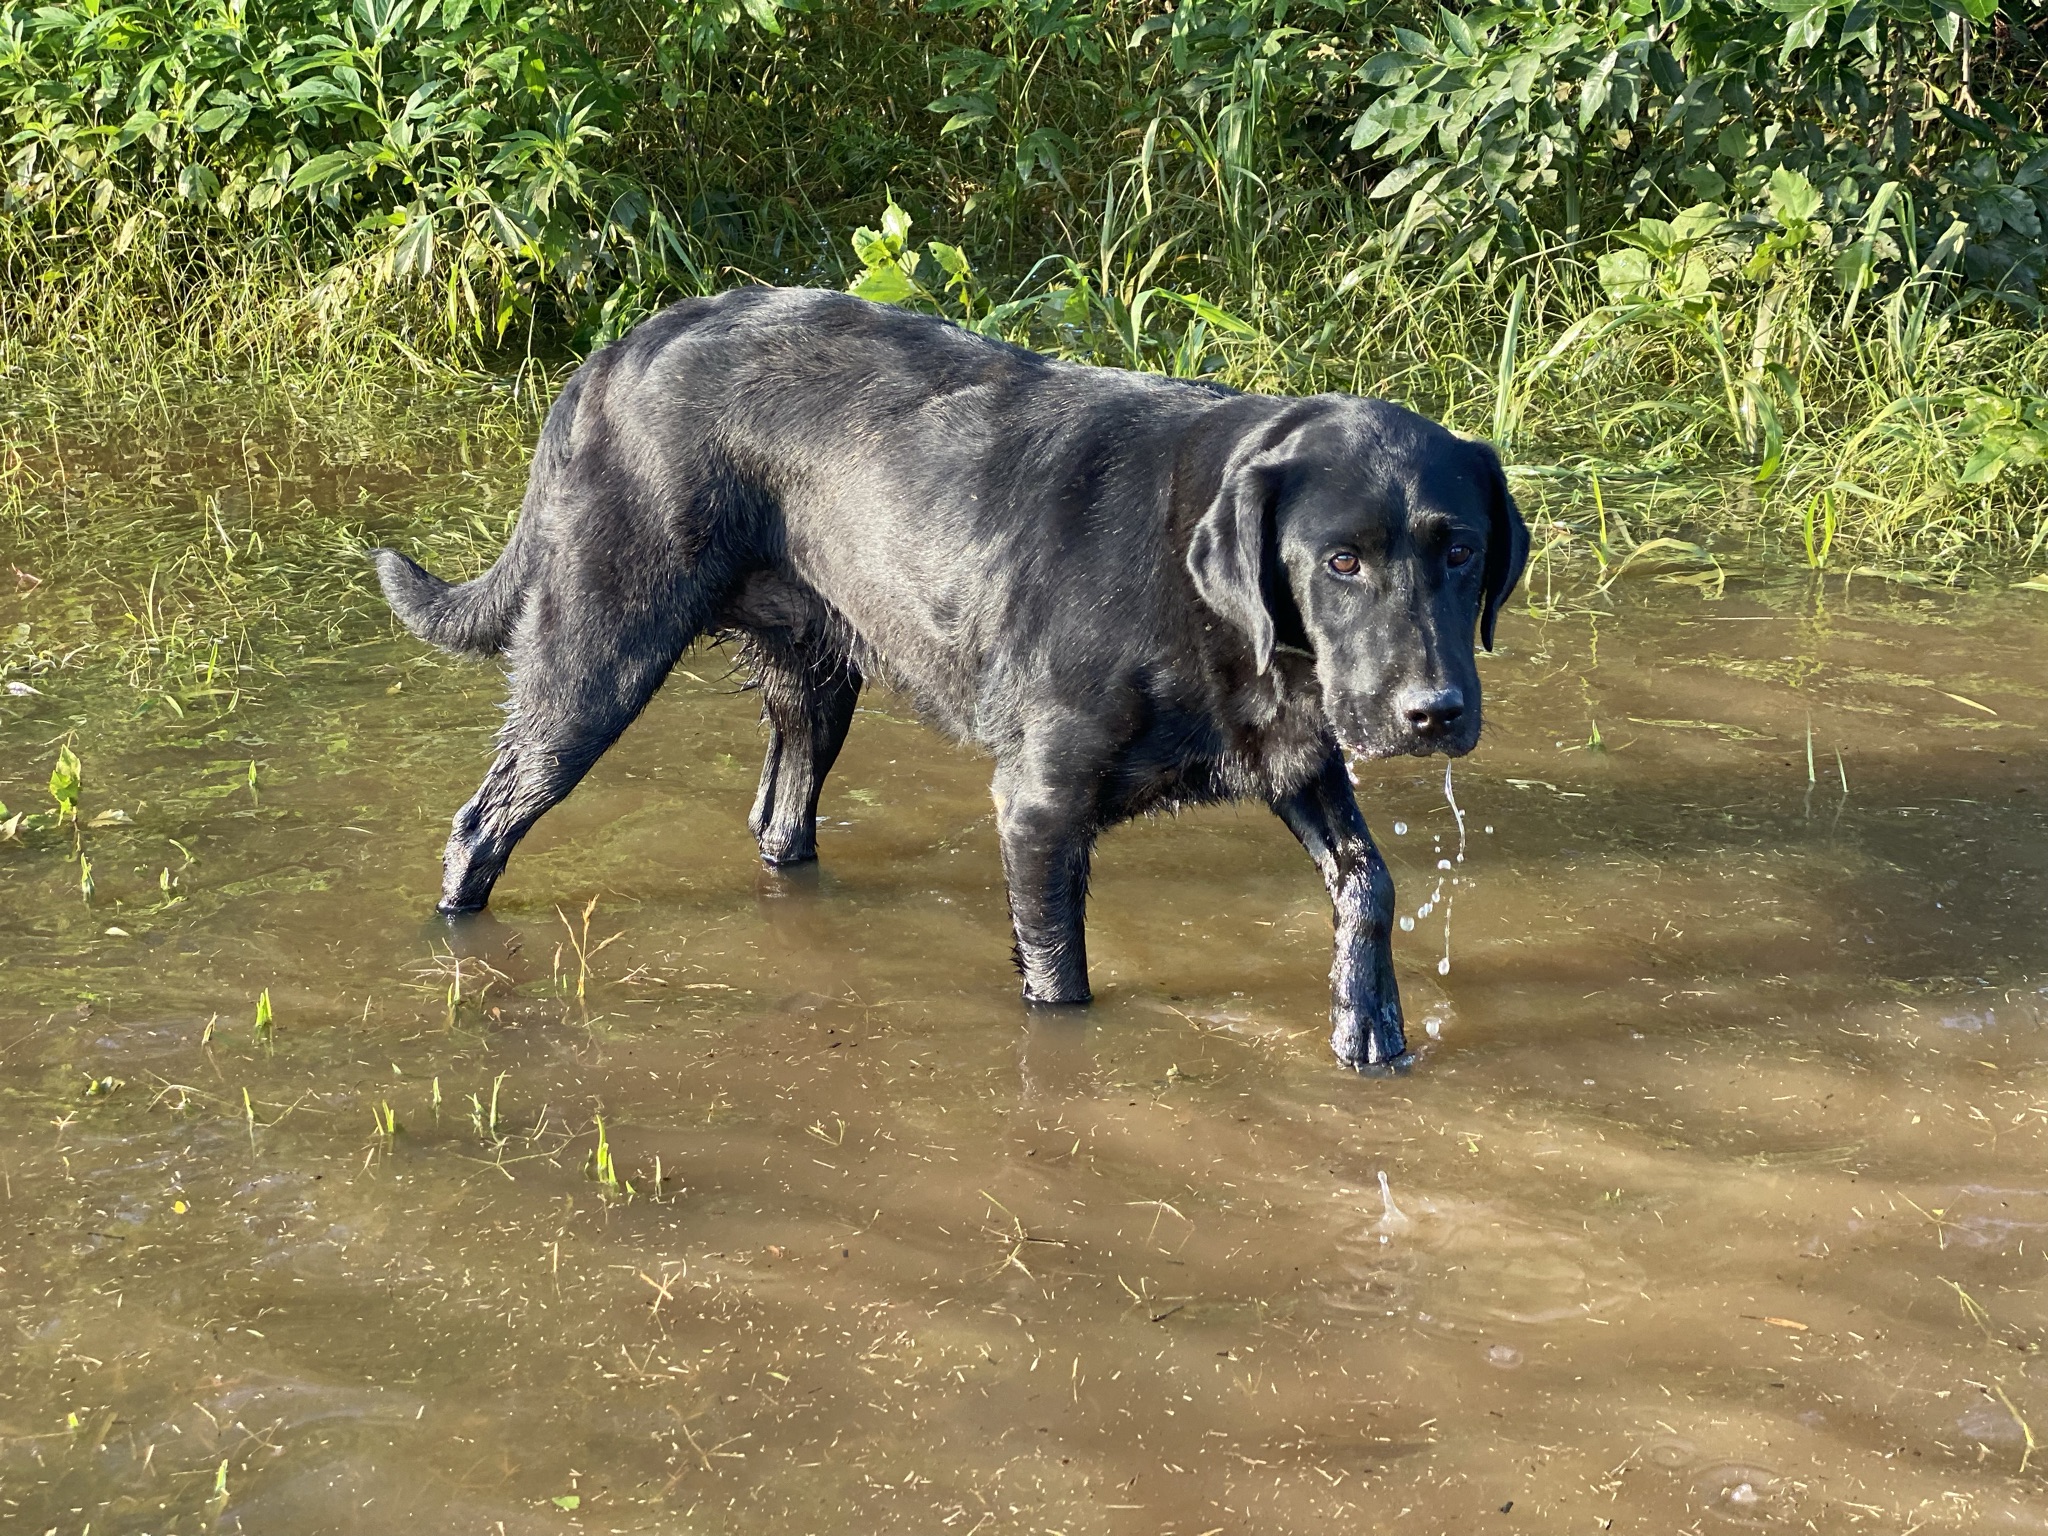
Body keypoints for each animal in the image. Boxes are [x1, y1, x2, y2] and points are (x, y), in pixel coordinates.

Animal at [372, 290, 1523, 1081]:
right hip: (594, 662)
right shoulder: (1039, 807)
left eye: (1461, 550)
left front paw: (1368, 1024)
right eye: (1341, 561)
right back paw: (451, 935)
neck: (1208, 600)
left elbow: (1369, 882)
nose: (1433, 714)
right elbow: (1060, 986)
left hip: (815, 683)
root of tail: (613, 354)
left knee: (779, 817)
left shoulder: (1299, 759)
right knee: (483, 822)